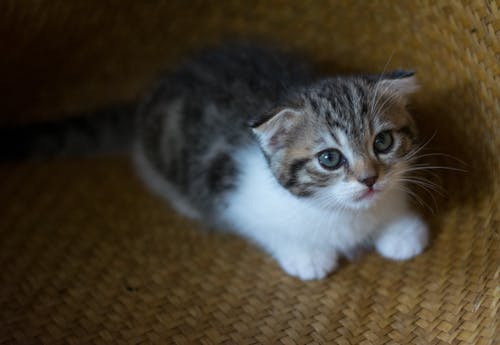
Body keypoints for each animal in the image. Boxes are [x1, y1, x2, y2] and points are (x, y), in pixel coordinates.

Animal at [133, 44, 430, 278]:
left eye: (383, 142)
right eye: (330, 158)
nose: (369, 179)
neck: (344, 213)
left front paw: (401, 230)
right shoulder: (235, 198)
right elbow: (266, 229)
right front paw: (306, 254)